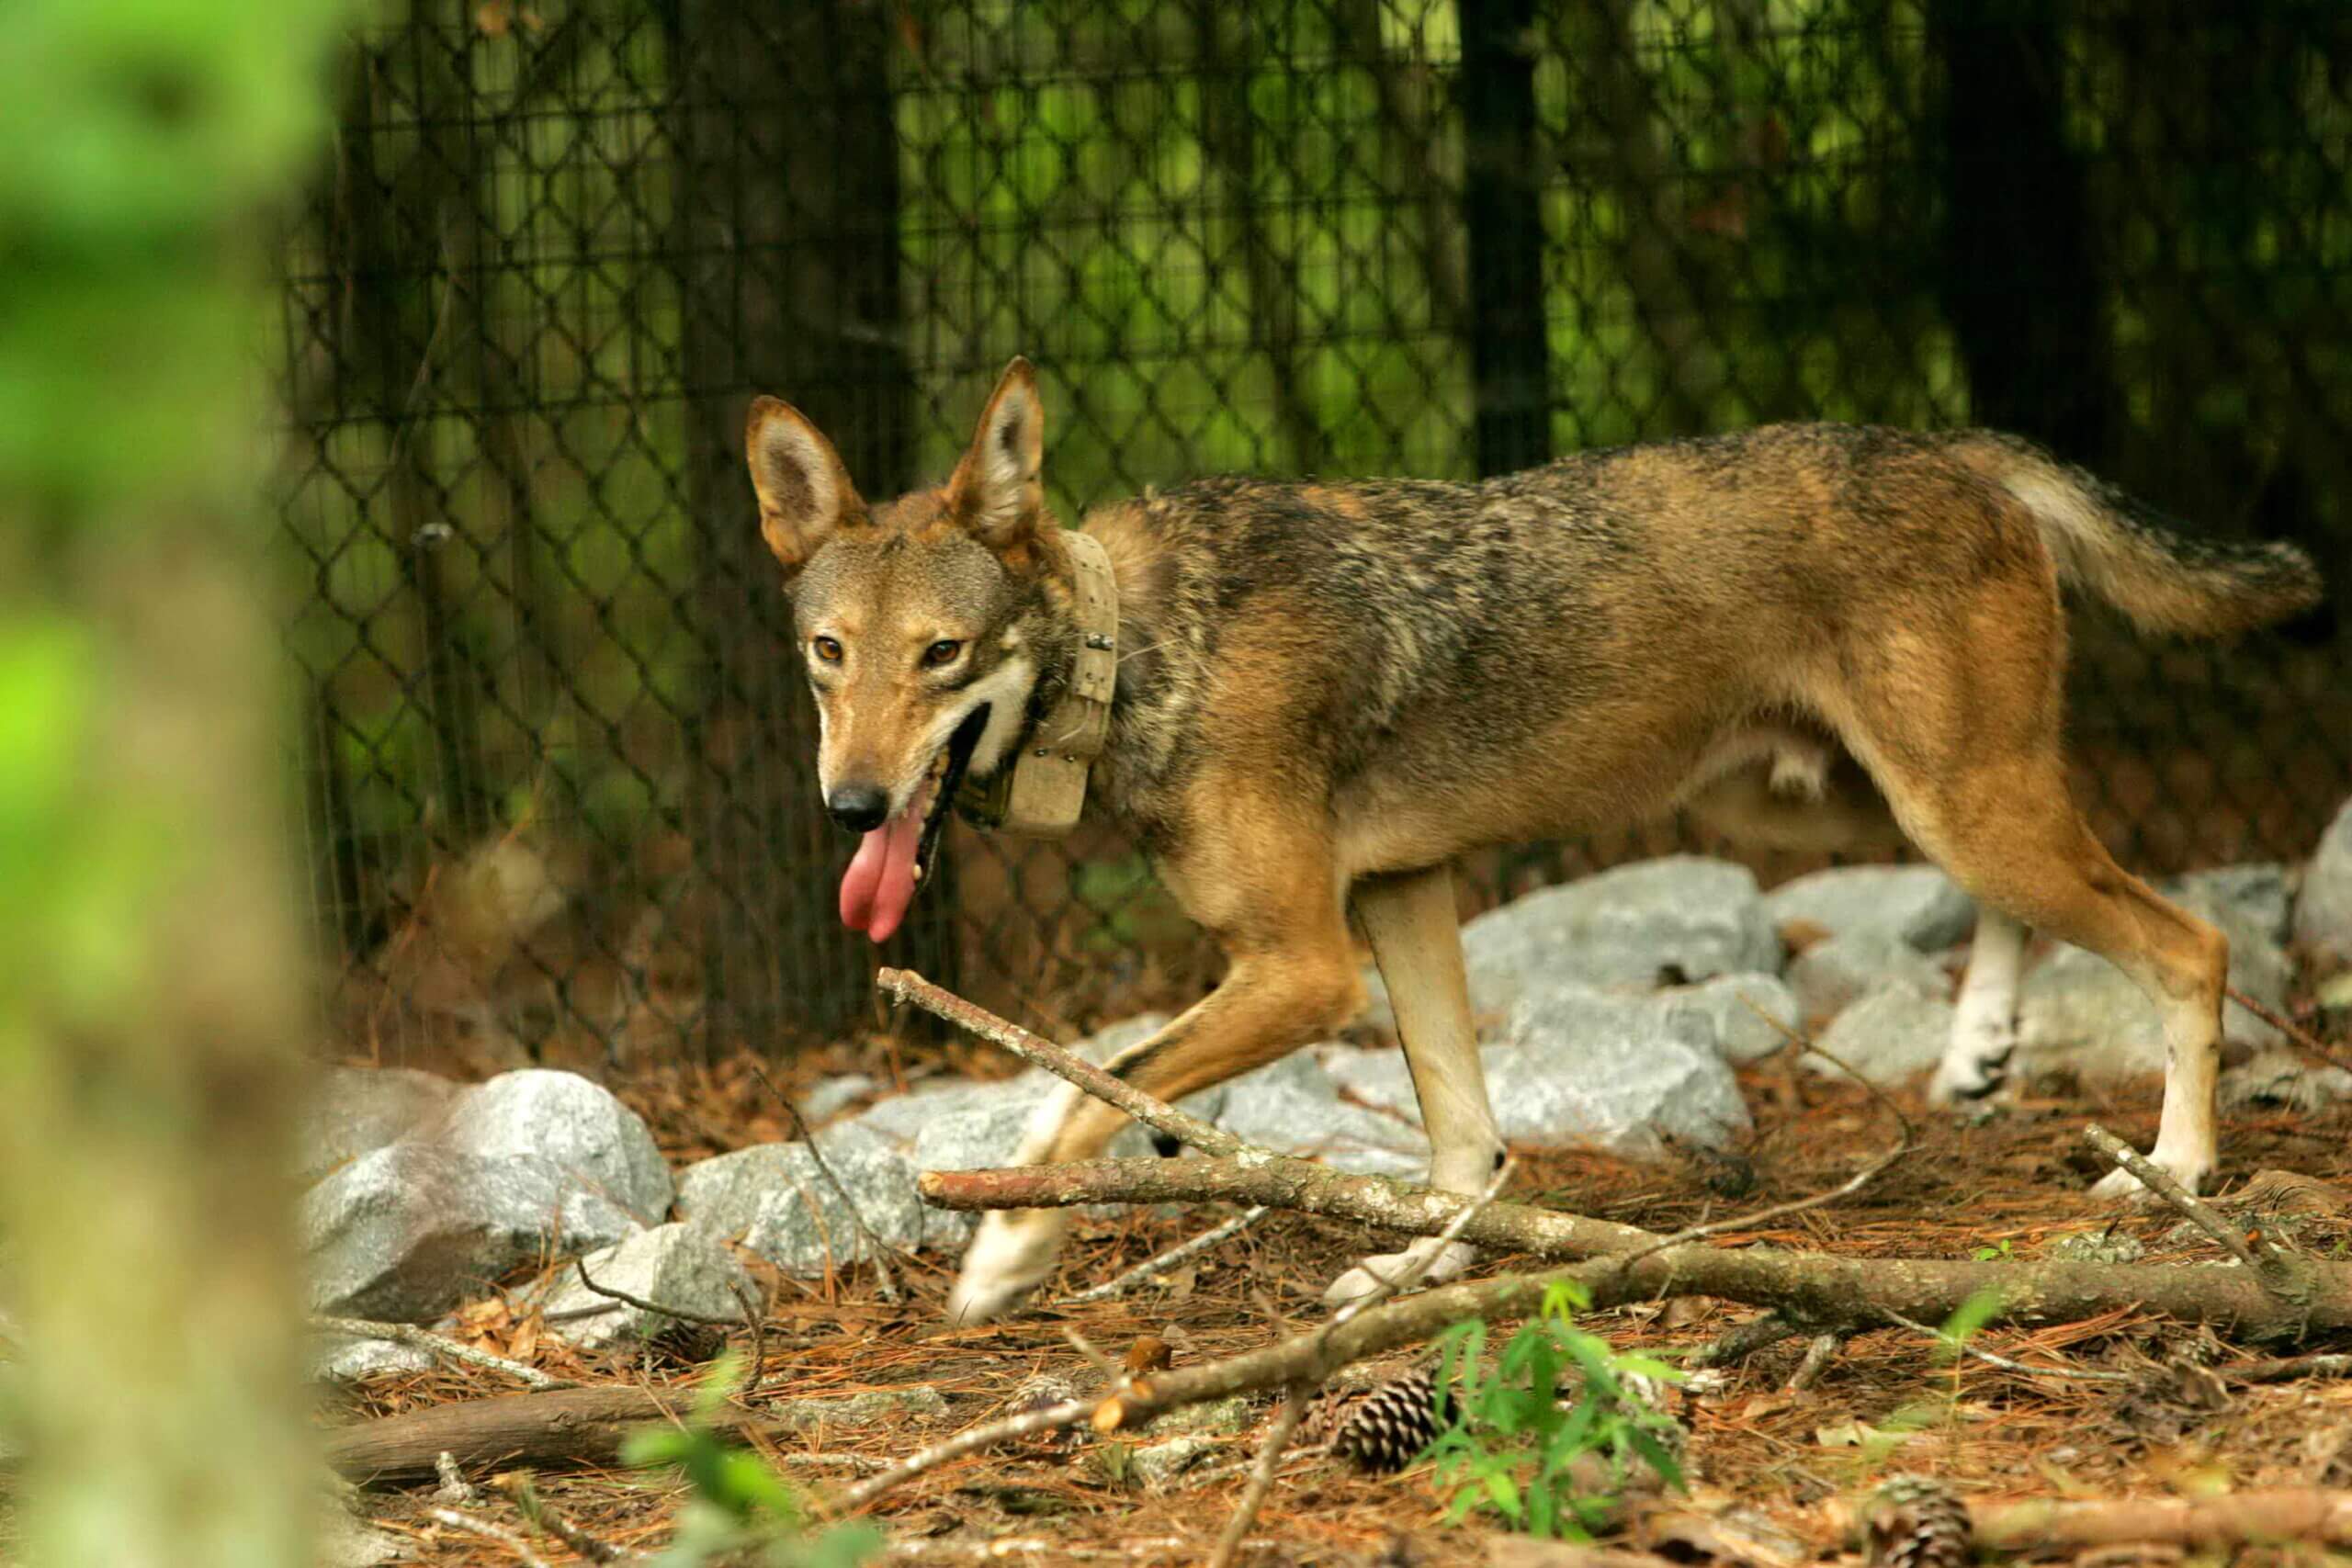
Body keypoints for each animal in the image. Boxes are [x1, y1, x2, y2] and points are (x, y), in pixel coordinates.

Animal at [741, 358, 2322, 1325]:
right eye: (829, 656)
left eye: (941, 657)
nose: (853, 807)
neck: (1140, 651)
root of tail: (1957, 444)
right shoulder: (1401, 896)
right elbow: (1468, 1148)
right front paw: (1418, 1272)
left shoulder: (1305, 965)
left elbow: (1092, 1092)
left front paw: (1006, 1253)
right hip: (1861, 800)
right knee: (2048, 906)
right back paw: (1980, 1048)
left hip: (1959, 802)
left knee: (2189, 939)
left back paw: (2179, 1169)